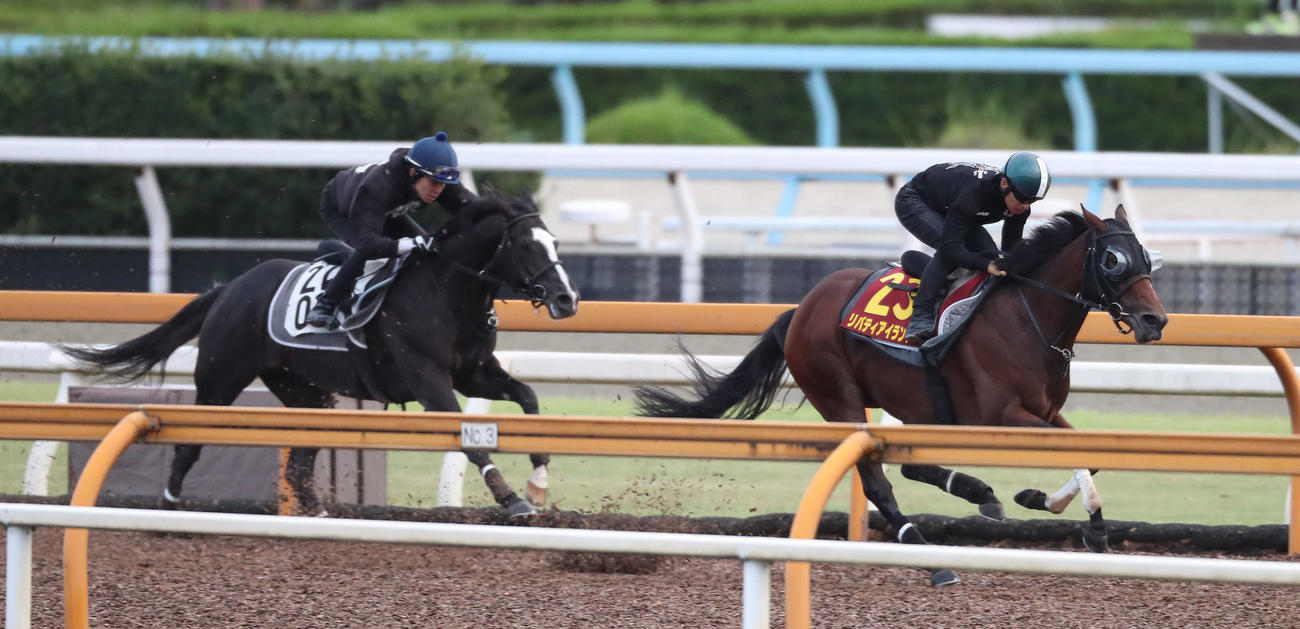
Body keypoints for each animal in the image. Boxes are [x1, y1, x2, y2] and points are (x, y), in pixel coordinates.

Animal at [62, 191, 580, 517]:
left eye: (555, 242)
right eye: (525, 245)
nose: (567, 299)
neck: (446, 291)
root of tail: (230, 288)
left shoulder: (473, 373)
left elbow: (528, 397)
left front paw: (538, 478)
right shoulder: (429, 383)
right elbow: (471, 441)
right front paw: (512, 499)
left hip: (305, 393)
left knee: (297, 461)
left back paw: (319, 514)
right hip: (219, 379)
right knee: (190, 442)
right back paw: (168, 507)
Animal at [635, 206, 1167, 585]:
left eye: (1147, 258)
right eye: (1112, 261)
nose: (1155, 320)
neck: (1028, 317)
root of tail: (800, 309)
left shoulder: (1045, 411)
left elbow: (1090, 455)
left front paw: (1045, 501)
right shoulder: (1001, 415)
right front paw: (1090, 527)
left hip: (915, 404)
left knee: (910, 464)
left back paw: (978, 493)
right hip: (840, 399)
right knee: (878, 481)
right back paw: (931, 558)